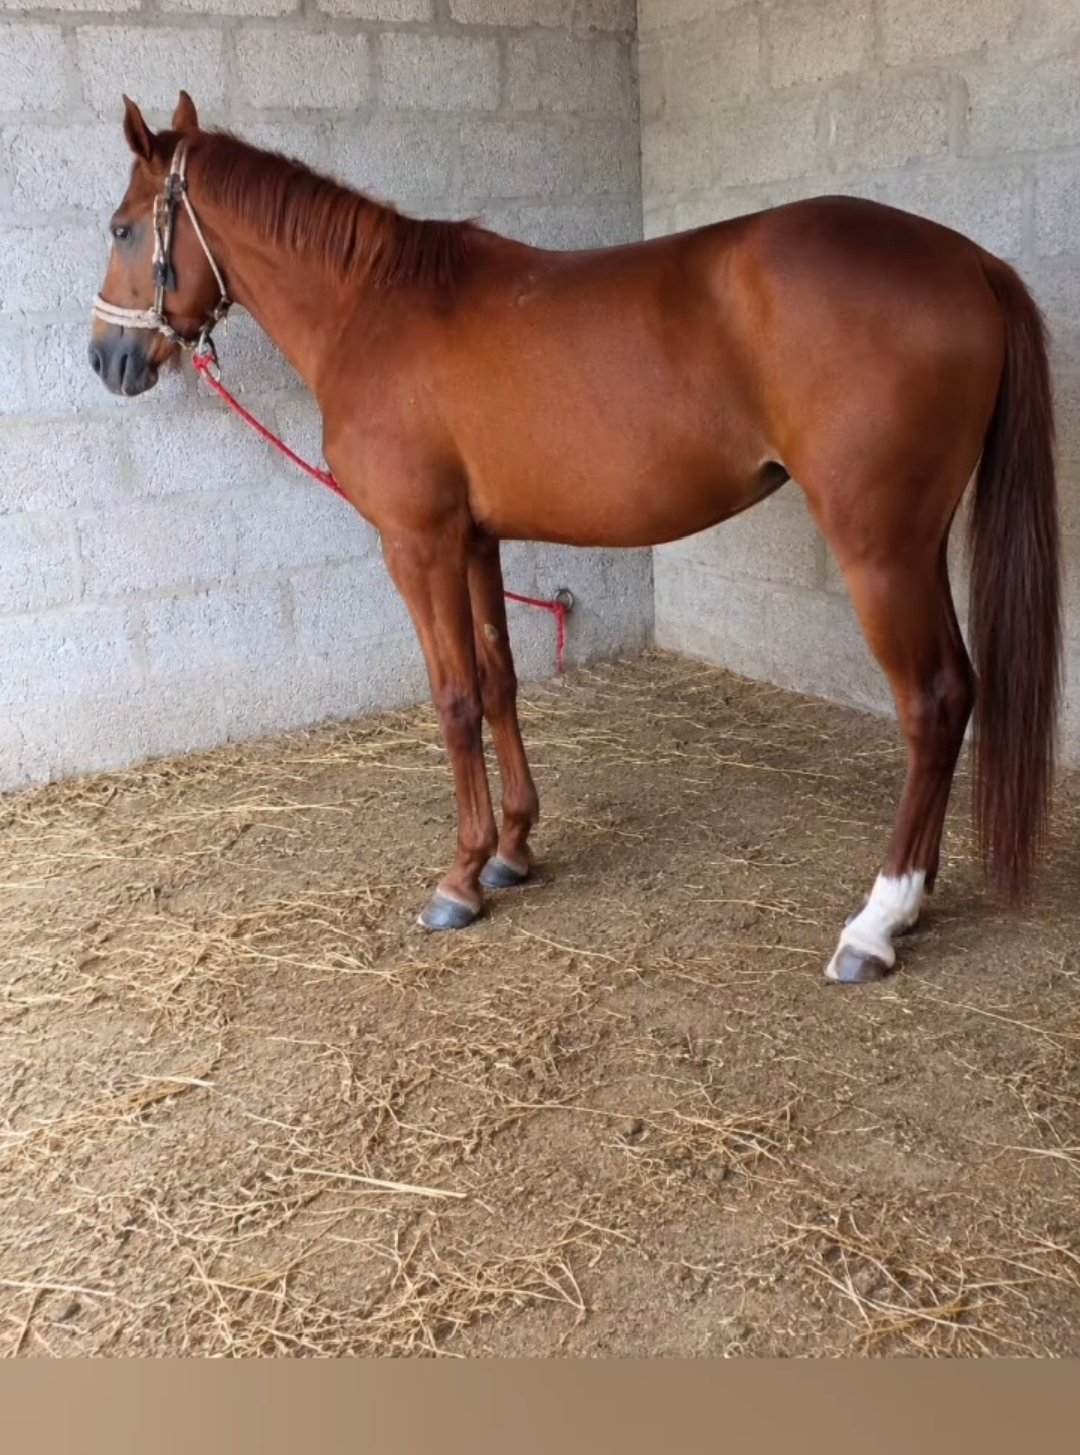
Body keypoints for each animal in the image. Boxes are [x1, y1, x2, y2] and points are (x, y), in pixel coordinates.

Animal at [89, 92, 1061, 985]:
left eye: (124, 228)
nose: (107, 359)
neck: (372, 306)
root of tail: (969, 260)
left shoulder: (418, 544)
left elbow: (453, 699)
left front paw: (460, 877)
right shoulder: (475, 541)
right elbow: (499, 682)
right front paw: (513, 849)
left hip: (880, 550)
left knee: (931, 702)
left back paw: (877, 920)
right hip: (918, 546)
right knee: (959, 691)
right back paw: (916, 898)